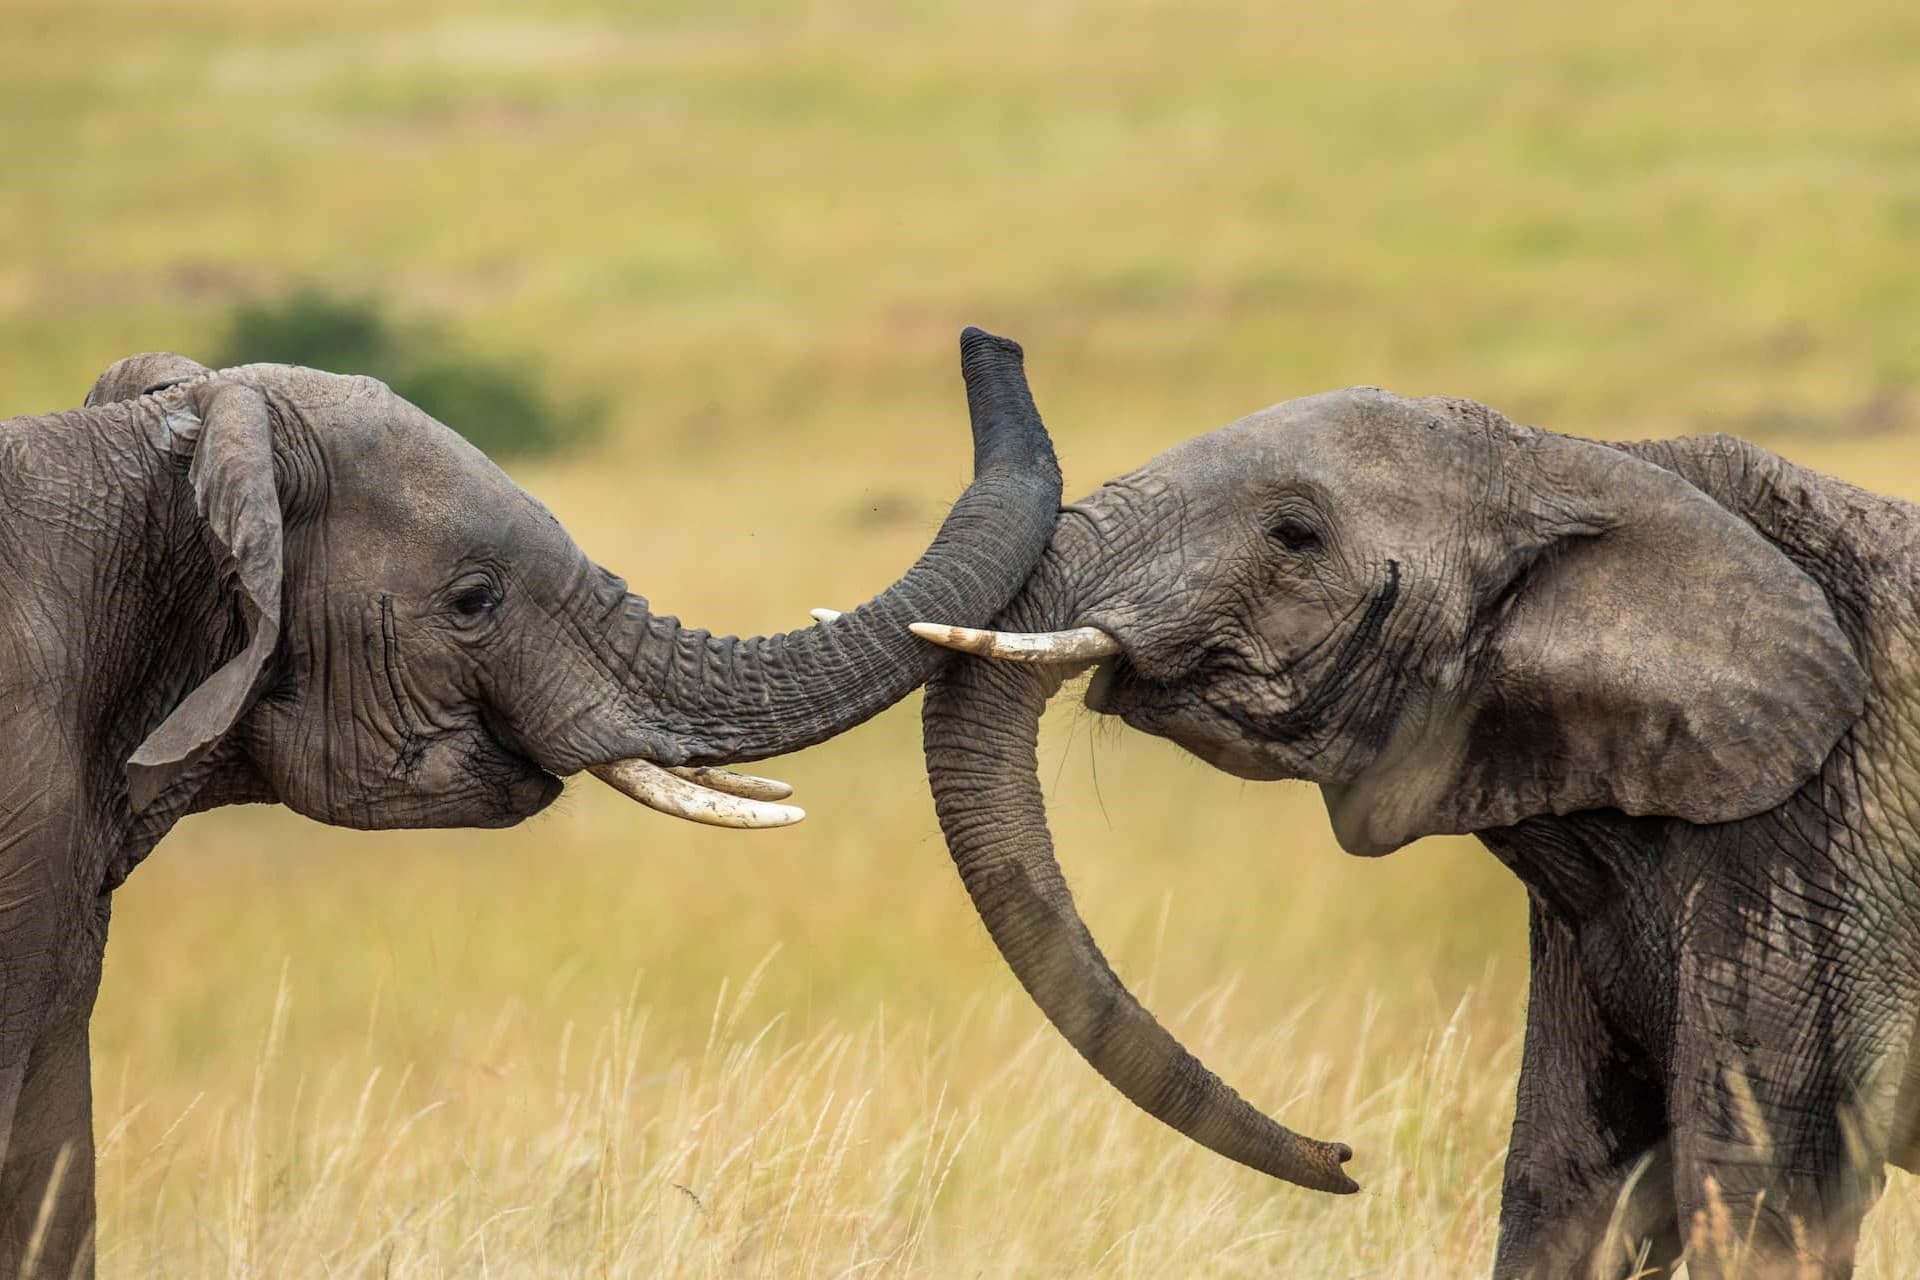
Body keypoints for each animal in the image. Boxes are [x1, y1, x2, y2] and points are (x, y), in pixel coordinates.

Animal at [906, 385, 1912, 1274]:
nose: (1344, 1159)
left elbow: (1756, 1198)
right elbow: (1569, 1183)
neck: (1589, 463)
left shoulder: (1818, 850)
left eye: (1294, 535)